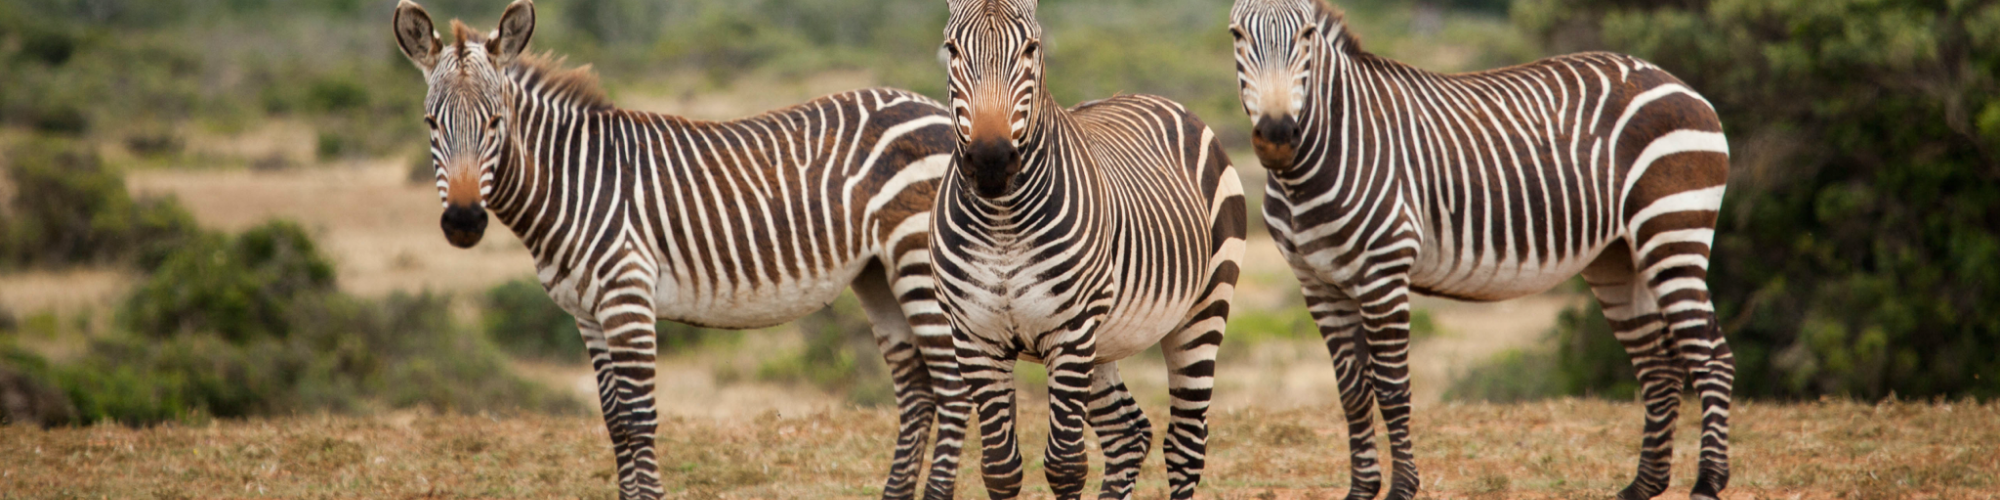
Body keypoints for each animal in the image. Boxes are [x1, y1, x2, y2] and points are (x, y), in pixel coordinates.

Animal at [390, 1, 971, 499]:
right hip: (878, 273)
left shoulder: (627, 296)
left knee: (952, 388)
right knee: (918, 392)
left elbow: (640, 419)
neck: (575, 180)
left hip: (917, 264)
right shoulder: (588, 315)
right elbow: (616, 422)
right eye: (430, 123)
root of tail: (934, 107)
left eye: (495, 122)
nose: (463, 222)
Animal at [930, 1, 1247, 499]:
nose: (991, 161)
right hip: (1105, 340)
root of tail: (1157, 99)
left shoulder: (1071, 331)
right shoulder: (974, 337)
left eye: (1031, 48)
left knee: (1185, 442)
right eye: (952, 49)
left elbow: (1065, 464)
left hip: (1204, 306)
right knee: (1129, 434)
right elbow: (1000, 469)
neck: (1002, 223)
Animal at [1227, 1, 1734, 499]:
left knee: (1711, 355)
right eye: (1237, 35)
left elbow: (1391, 388)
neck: (1307, 170)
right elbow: (1352, 391)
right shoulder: (1317, 284)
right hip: (1618, 256)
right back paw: (1643, 486)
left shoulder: (1382, 273)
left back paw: (1707, 482)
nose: (1277, 136)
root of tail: (1674, 80)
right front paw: (1361, 490)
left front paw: (1402, 488)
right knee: (1659, 367)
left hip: (1672, 229)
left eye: (1307, 35)